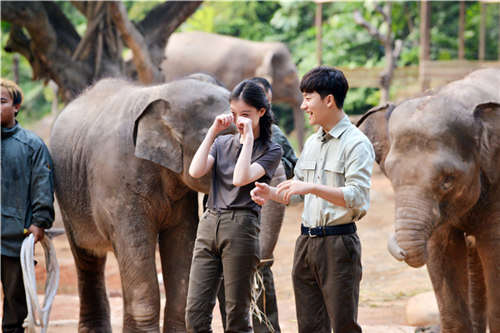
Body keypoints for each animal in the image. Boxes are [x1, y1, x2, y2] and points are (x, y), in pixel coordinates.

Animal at [48, 77, 232, 330]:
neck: (161, 92)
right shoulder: (118, 184)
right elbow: (136, 248)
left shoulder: (180, 195)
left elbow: (181, 241)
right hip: (68, 198)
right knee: (87, 257)